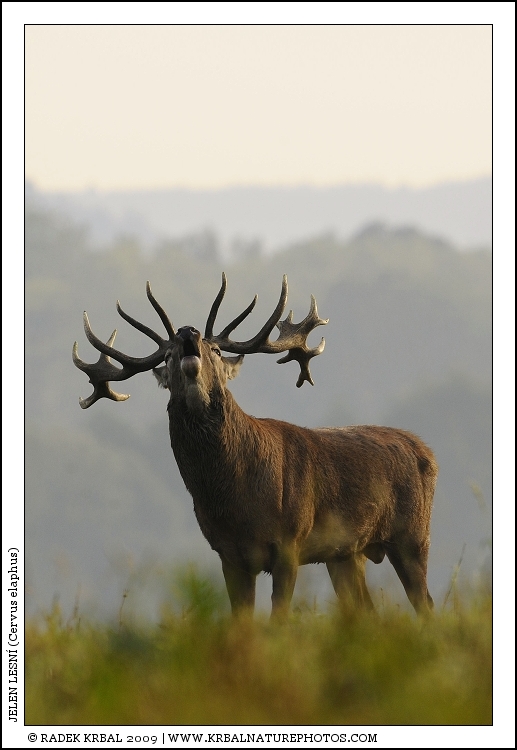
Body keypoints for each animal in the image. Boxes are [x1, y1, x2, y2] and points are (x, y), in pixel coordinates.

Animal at [73, 273, 437, 620]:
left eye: (216, 350)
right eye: (168, 354)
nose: (187, 332)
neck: (237, 503)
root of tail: (427, 452)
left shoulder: (291, 541)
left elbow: (279, 619)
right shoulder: (227, 553)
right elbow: (241, 620)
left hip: (413, 535)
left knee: (426, 604)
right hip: (347, 553)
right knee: (367, 610)